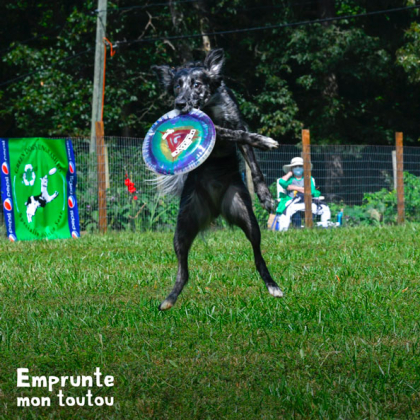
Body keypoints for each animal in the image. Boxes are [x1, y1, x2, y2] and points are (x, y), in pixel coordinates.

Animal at [150, 50, 282, 312]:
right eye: (177, 86)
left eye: (197, 84)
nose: (180, 104)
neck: (209, 106)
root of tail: (215, 209)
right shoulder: (216, 129)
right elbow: (233, 133)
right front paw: (263, 140)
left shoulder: (236, 119)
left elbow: (252, 160)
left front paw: (265, 196)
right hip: (183, 227)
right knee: (183, 271)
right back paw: (169, 299)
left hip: (247, 217)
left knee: (258, 257)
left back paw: (273, 286)